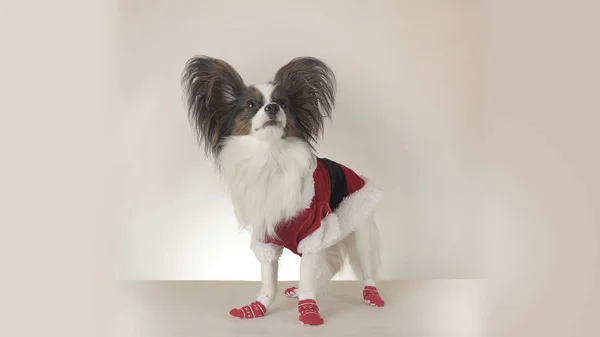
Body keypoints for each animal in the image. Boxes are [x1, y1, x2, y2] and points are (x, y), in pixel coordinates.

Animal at [180, 56, 384, 324]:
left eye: (284, 104)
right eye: (251, 104)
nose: (273, 107)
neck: (270, 155)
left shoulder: (313, 230)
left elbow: (307, 276)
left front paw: (309, 310)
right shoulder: (266, 234)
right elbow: (269, 280)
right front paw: (257, 308)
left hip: (359, 227)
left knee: (365, 266)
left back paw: (372, 295)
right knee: (328, 267)